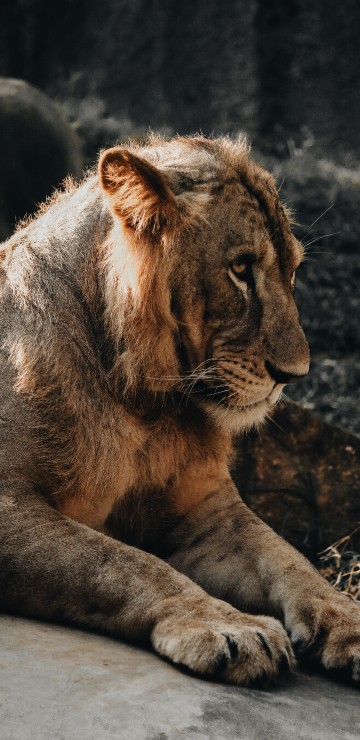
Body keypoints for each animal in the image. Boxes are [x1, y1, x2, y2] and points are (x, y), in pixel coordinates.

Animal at [0, 134, 358, 688]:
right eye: (240, 268)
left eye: (293, 270)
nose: (294, 375)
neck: (141, 403)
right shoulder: (8, 504)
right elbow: (123, 562)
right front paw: (229, 626)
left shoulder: (206, 511)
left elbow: (288, 558)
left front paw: (346, 617)